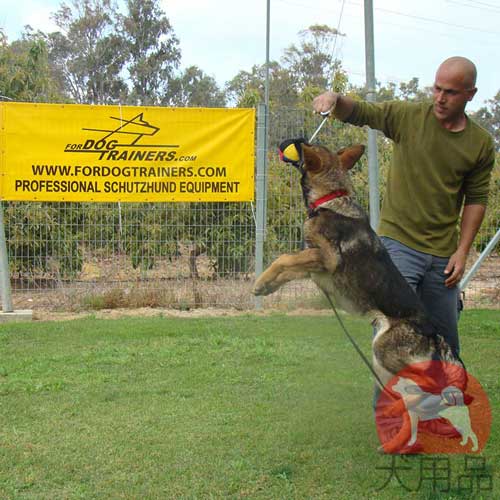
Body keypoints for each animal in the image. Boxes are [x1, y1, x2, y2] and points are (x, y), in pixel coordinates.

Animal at [254, 141, 464, 390]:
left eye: (308, 147)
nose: (291, 142)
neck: (330, 200)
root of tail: (433, 331)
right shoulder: (315, 266)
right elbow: (287, 268)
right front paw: (267, 286)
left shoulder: (326, 258)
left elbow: (284, 258)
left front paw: (259, 282)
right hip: (382, 362)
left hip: (383, 350)